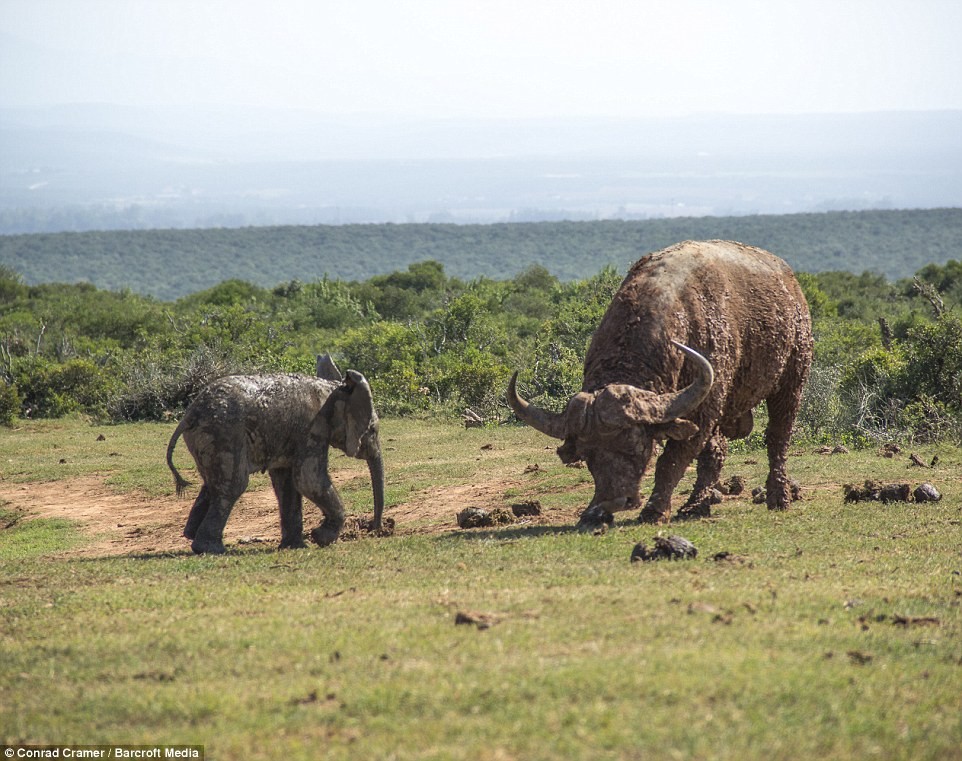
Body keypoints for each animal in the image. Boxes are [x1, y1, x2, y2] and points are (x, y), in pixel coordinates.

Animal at [165, 360, 382, 556]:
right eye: (372, 430)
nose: (375, 529)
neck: (333, 389)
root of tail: (189, 415)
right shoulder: (312, 427)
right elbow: (308, 480)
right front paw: (321, 538)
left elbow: (288, 483)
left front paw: (296, 547)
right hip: (222, 433)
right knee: (232, 484)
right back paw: (212, 549)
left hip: (207, 438)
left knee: (213, 484)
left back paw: (192, 536)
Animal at [506, 240, 812, 524]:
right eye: (587, 454)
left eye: (636, 446)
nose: (614, 501)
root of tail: (792, 287)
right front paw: (592, 513)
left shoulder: (703, 408)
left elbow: (671, 461)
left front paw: (654, 510)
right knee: (716, 452)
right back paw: (696, 505)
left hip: (793, 377)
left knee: (777, 437)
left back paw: (778, 496)